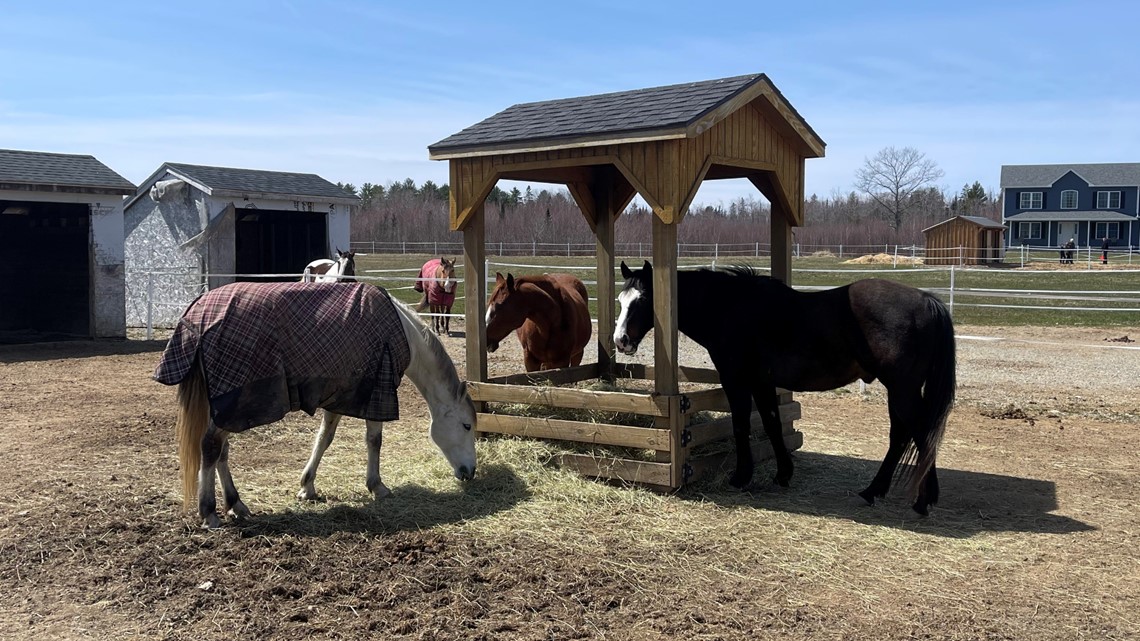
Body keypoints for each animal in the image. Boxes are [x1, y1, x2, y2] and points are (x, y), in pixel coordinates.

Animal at [165, 287, 476, 526]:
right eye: (467, 425)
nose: (469, 472)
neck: (400, 331)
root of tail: (197, 314)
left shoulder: (341, 394)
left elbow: (324, 439)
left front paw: (307, 486)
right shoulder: (378, 392)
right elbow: (374, 440)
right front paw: (377, 486)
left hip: (224, 409)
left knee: (222, 451)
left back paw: (235, 503)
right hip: (235, 404)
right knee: (211, 446)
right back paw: (209, 512)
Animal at [615, 260, 953, 513]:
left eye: (643, 300)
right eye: (620, 300)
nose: (621, 341)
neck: (730, 308)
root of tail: (927, 301)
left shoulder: (736, 381)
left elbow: (741, 425)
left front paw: (741, 477)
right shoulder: (762, 382)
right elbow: (772, 424)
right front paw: (783, 474)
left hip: (902, 389)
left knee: (920, 434)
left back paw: (923, 500)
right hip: (899, 391)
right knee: (902, 436)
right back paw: (877, 491)